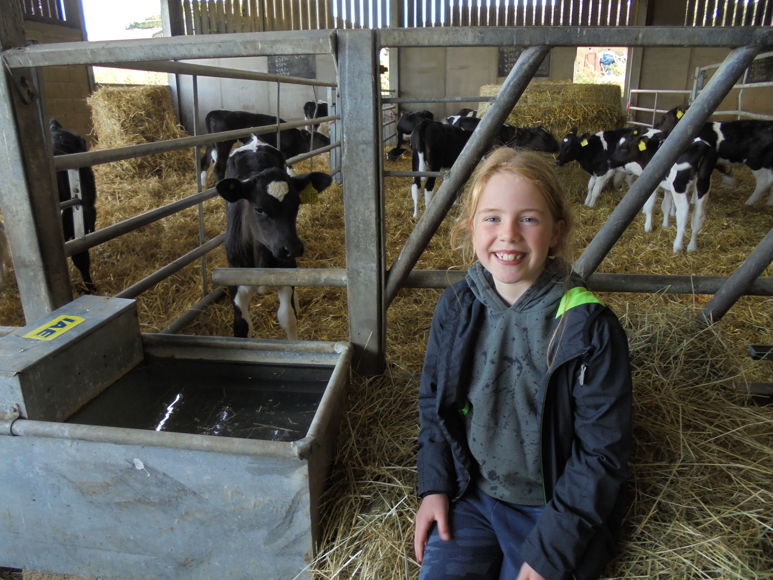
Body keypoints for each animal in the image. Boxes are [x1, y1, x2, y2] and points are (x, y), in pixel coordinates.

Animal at [200, 110, 331, 184]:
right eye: (320, 138)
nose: (330, 140)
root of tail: (214, 113)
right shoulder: (285, 153)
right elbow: (290, 169)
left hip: (210, 145)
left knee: (205, 162)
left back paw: (203, 185)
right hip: (223, 144)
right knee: (219, 167)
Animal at [216, 135, 333, 339]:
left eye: (297, 204)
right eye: (259, 209)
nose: (291, 248)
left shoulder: (286, 269)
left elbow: (287, 317)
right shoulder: (236, 280)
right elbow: (241, 326)